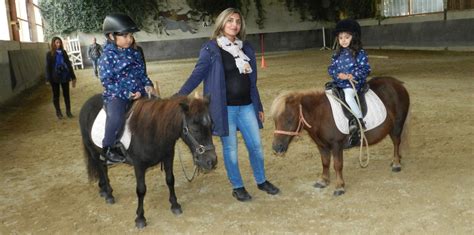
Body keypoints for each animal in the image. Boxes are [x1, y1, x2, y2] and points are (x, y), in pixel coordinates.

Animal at [79, 93, 217, 228]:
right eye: (195, 129)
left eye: (211, 126)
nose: (211, 161)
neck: (153, 130)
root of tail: (87, 103)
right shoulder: (139, 166)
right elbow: (141, 190)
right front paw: (140, 218)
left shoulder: (168, 156)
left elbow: (170, 180)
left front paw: (175, 205)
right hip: (93, 150)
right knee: (101, 167)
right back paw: (108, 194)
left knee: (102, 167)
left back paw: (104, 189)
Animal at [272, 76, 410, 195]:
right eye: (275, 119)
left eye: (289, 119)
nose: (276, 148)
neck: (320, 114)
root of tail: (398, 84)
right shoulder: (322, 145)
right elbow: (325, 162)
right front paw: (323, 181)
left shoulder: (336, 145)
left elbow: (337, 165)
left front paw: (339, 186)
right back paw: (396, 160)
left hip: (397, 125)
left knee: (396, 142)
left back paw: (396, 163)